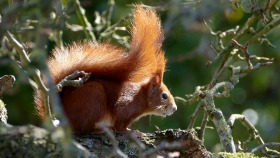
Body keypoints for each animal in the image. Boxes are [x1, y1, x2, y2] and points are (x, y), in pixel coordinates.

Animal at [34, 5, 176, 133]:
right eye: (164, 95)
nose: (174, 109)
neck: (141, 96)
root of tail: (64, 118)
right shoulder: (125, 105)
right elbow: (120, 125)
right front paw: (133, 132)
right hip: (93, 96)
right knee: (83, 128)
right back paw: (98, 130)